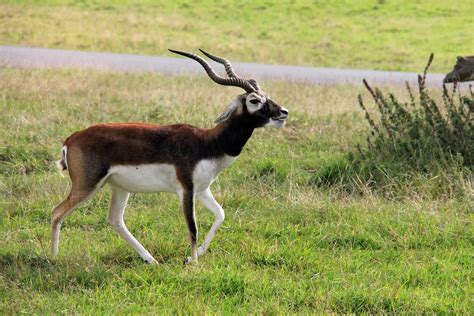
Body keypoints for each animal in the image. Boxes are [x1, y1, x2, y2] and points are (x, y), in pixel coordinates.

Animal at [51, 48, 288, 262]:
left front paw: (194, 257)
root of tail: (71, 139)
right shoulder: (186, 189)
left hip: (119, 187)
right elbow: (193, 227)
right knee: (56, 213)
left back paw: (151, 260)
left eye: (267, 97)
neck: (208, 143)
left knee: (114, 220)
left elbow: (220, 214)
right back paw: (53, 258)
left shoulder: (202, 189)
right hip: (87, 185)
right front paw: (194, 265)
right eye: (254, 100)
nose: (283, 112)